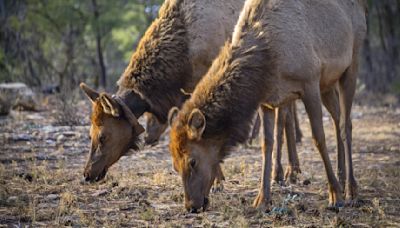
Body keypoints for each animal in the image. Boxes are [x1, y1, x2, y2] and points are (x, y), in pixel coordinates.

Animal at [168, 0, 366, 211]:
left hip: (351, 63)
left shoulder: (310, 82)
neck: (267, 61)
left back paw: (350, 189)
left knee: (346, 124)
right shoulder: (267, 101)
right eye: (175, 165)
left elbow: (318, 138)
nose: (191, 206)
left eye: (192, 161)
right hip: (327, 84)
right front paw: (262, 199)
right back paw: (342, 177)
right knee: (337, 117)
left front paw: (335, 195)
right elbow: (267, 144)